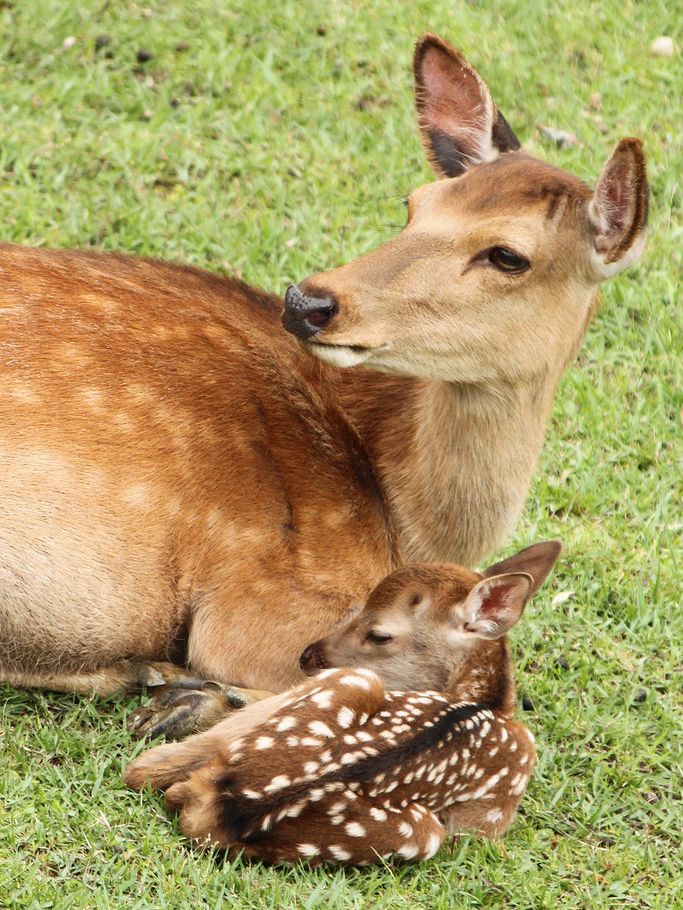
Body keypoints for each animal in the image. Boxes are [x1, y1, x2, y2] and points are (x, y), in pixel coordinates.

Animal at [0, 34, 647, 739]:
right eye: (414, 204)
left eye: (509, 255)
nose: (307, 302)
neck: (400, 518)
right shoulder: (264, 596)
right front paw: (197, 696)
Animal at [124, 541, 561, 866]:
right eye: (358, 606)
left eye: (379, 634)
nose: (307, 655)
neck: (492, 703)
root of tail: (222, 805)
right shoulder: (494, 811)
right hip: (424, 829)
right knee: (143, 769)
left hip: (351, 682)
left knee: (147, 768)